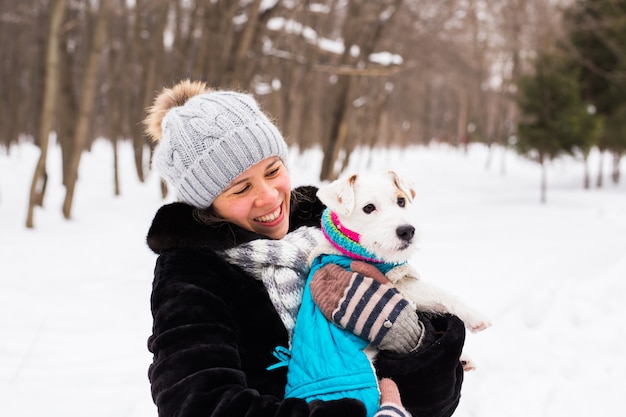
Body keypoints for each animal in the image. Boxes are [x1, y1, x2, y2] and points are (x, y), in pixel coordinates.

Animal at [310, 167, 490, 368]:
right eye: (368, 208)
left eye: (401, 201)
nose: (407, 231)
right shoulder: (398, 284)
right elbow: (436, 291)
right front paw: (475, 317)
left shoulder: (403, 282)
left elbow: (436, 295)